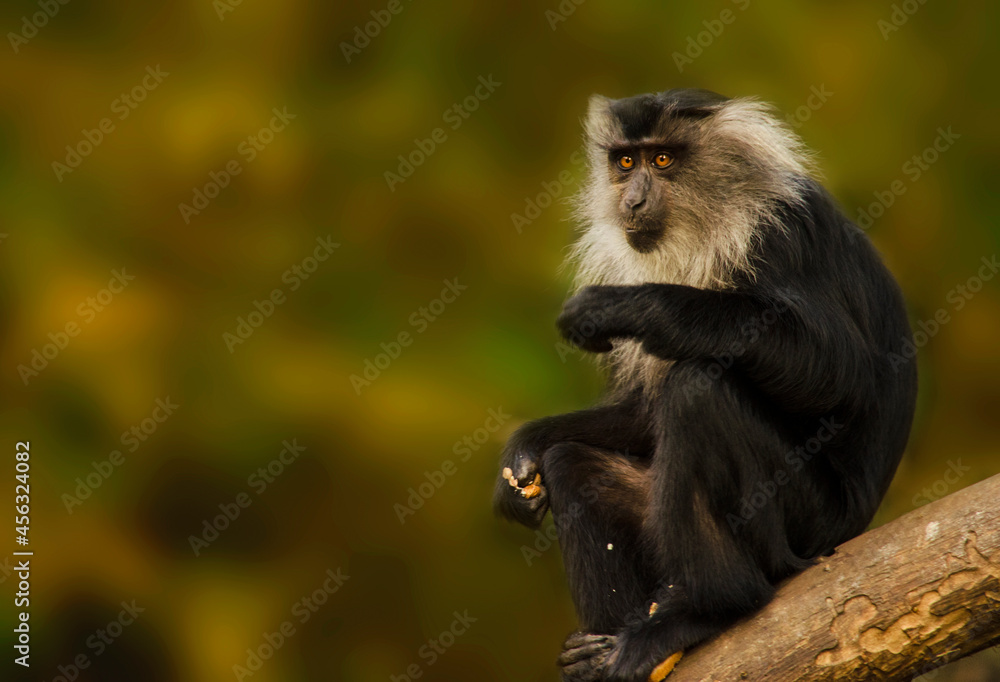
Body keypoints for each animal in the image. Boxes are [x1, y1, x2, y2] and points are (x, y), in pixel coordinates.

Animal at [494, 89, 917, 682]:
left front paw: (626, 307)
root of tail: (854, 527)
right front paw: (523, 453)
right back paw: (599, 651)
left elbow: (840, 374)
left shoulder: (780, 237)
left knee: (698, 391)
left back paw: (709, 608)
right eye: (626, 162)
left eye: (663, 160)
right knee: (573, 464)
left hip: (808, 523)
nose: (632, 199)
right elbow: (639, 418)